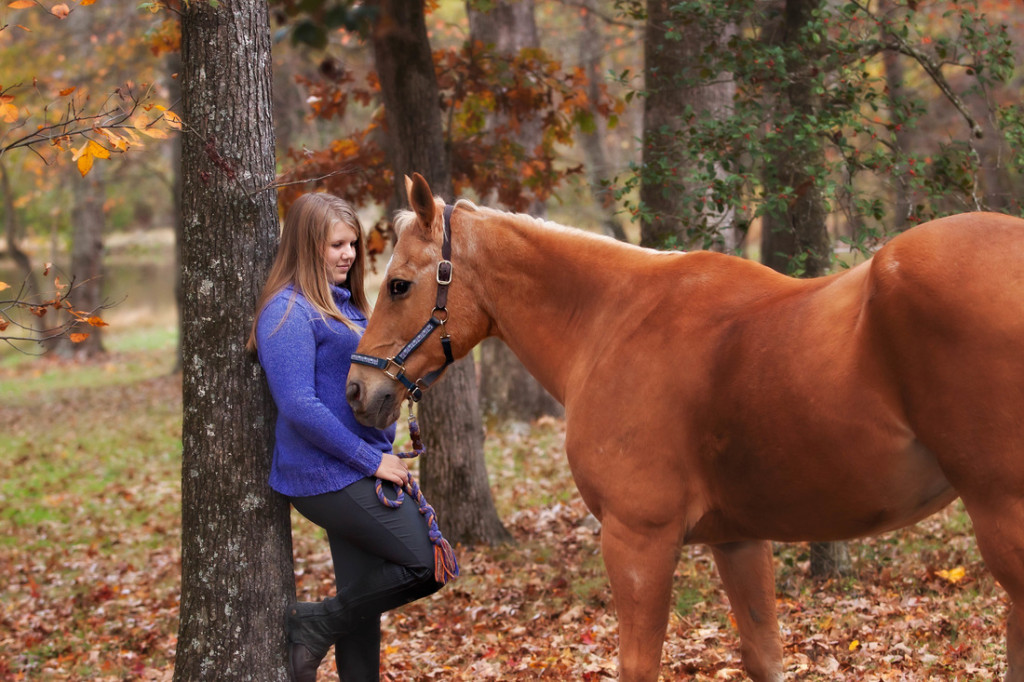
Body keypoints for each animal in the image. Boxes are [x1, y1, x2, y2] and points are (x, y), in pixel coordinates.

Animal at [348, 173, 1024, 675]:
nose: (358, 390)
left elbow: (638, 665)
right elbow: (764, 658)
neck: (611, 319)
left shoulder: (638, 540)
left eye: (399, 285)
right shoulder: (739, 540)